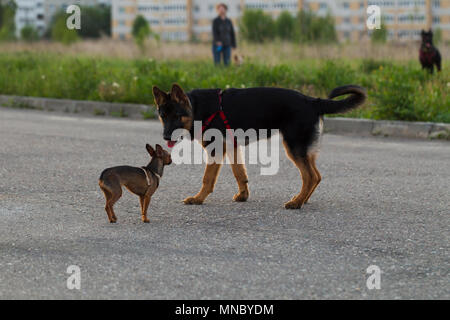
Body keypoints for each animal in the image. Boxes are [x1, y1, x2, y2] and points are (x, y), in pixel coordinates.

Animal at [154, 84, 366, 209]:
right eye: (163, 116)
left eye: (176, 116)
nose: (165, 137)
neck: (196, 108)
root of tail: (312, 101)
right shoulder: (232, 148)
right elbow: (240, 174)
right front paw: (243, 195)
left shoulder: (216, 150)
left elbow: (208, 179)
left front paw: (198, 199)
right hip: (304, 150)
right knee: (316, 176)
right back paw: (303, 198)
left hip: (293, 148)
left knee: (310, 176)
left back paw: (296, 203)